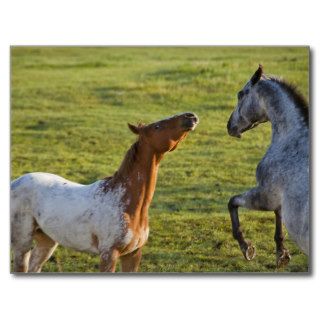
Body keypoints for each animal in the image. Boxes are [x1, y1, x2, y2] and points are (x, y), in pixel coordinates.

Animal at [11, 112, 199, 272]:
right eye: (157, 127)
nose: (191, 116)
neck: (124, 202)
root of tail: (15, 182)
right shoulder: (109, 254)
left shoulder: (133, 254)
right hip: (22, 244)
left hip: (47, 241)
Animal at [226, 65, 308, 268]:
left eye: (240, 94)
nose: (229, 126)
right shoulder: (275, 196)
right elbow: (278, 216)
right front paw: (282, 253)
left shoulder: (266, 195)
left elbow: (232, 202)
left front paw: (246, 247)